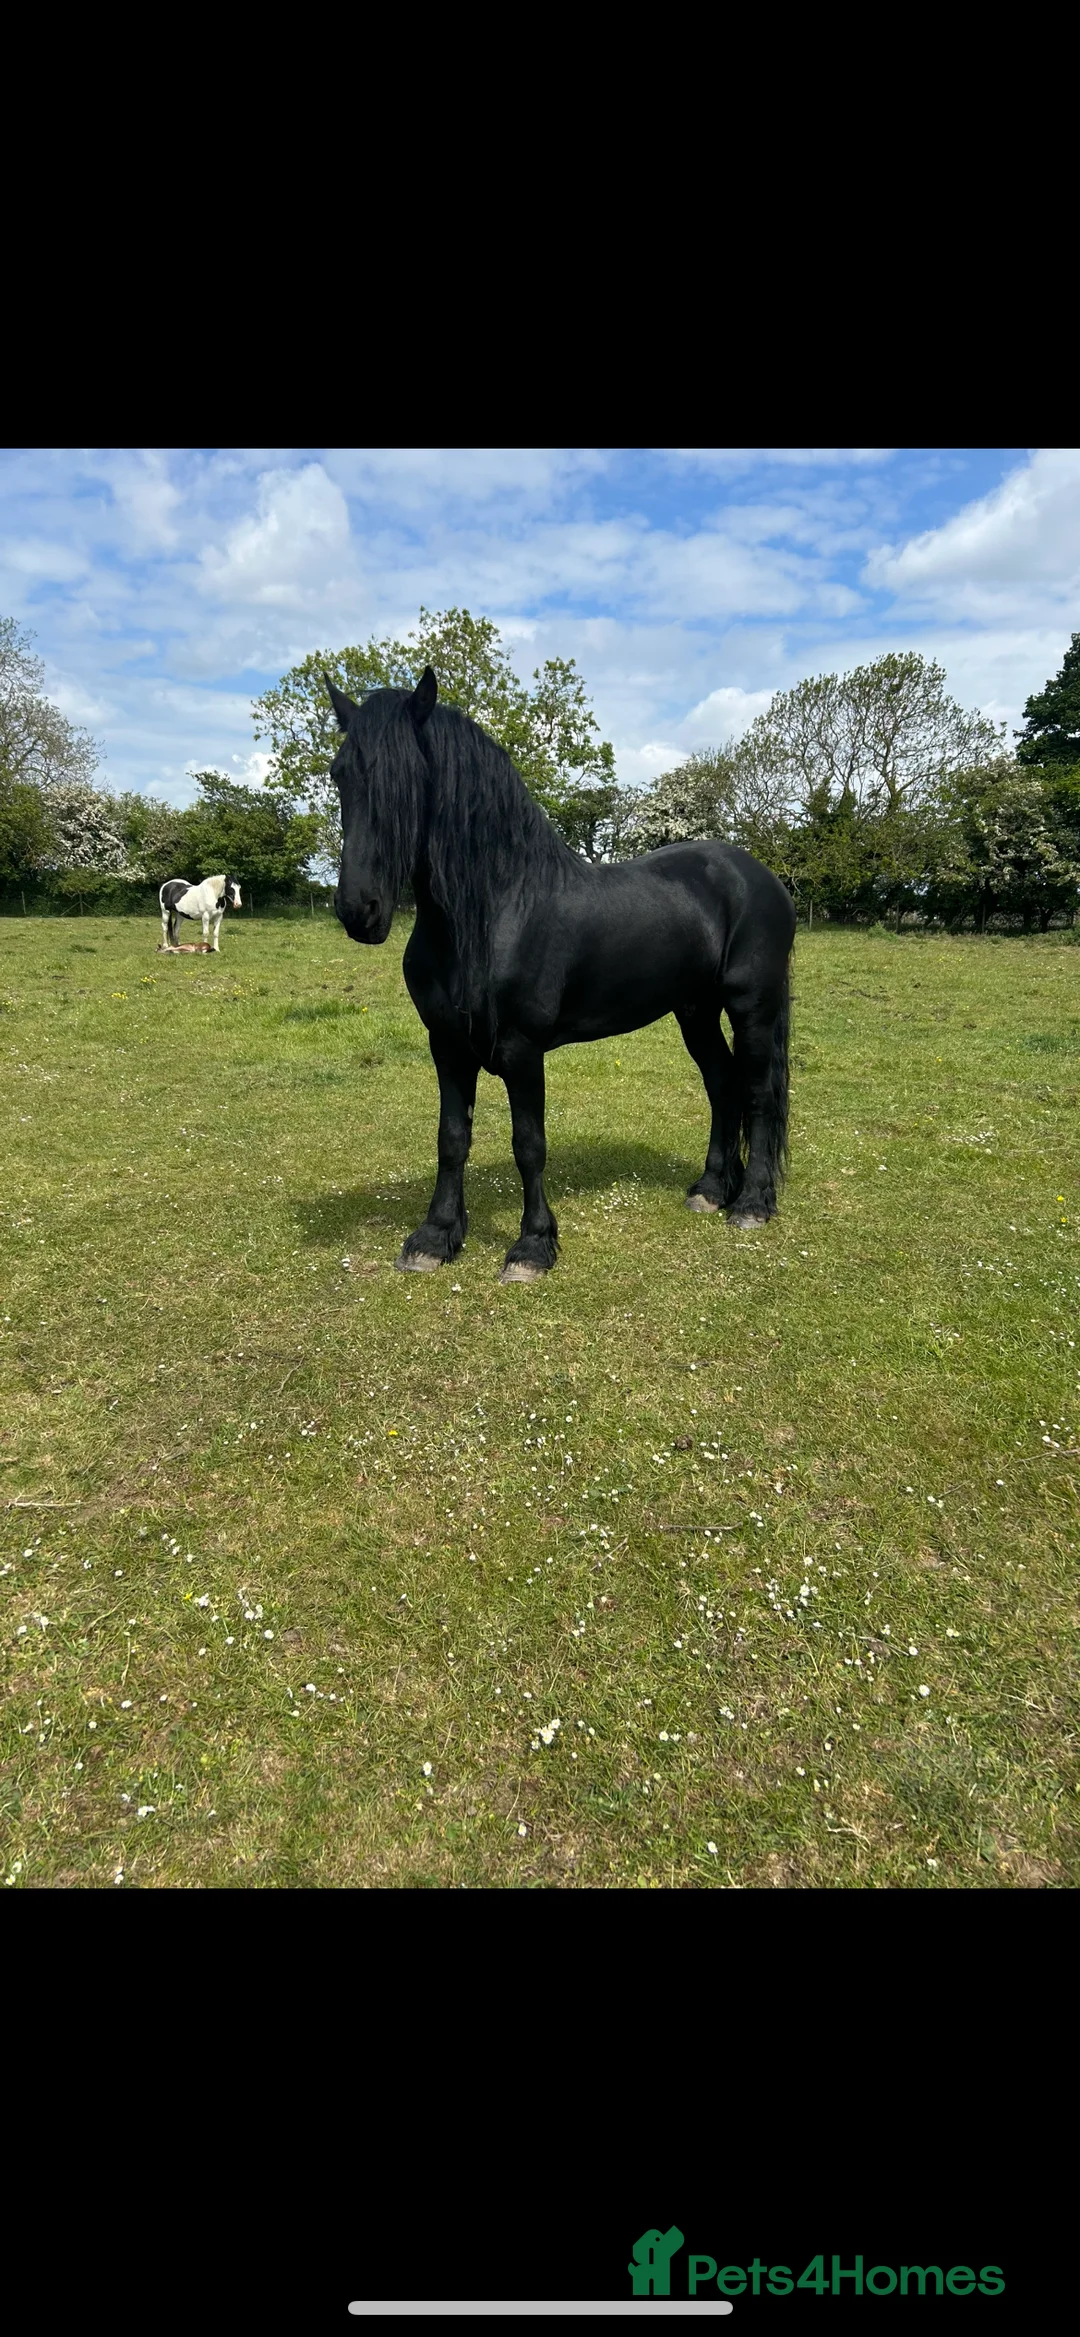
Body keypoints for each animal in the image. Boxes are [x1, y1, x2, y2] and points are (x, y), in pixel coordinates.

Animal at [328, 669, 795, 1283]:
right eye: (340, 775)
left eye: (410, 779)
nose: (359, 911)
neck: (496, 910)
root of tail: (762, 876)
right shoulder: (447, 1045)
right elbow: (452, 1138)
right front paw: (434, 1237)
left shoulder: (522, 1050)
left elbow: (529, 1144)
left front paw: (532, 1247)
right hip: (695, 1010)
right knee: (722, 1084)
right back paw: (711, 1190)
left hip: (752, 1008)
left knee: (758, 1093)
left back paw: (752, 1204)